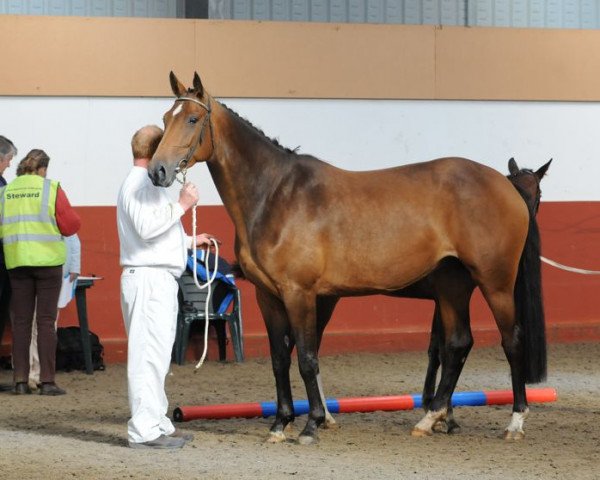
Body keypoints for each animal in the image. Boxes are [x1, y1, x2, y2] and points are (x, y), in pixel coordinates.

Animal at [148, 73, 548, 444]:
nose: (158, 171)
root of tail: (505, 185)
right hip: (452, 287)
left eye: (192, 119)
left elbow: (307, 358)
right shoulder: (269, 296)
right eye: (166, 117)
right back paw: (429, 418)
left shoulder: (300, 293)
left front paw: (310, 425)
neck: (275, 195)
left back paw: (515, 422)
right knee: (458, 344)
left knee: (511, 340)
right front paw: (280, 424)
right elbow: (280, 360)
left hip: (495, 283)